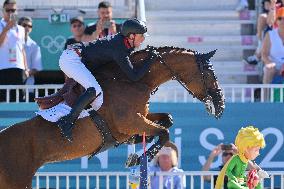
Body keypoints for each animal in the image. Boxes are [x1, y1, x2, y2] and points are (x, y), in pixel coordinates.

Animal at [0, 45, 224, 188]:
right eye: (208, 73)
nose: (220, 104)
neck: (134, 81)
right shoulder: (131, 121)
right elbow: (164, 132)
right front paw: (139, 158)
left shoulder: (140, 118)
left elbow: (167, 120)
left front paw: (138, 147)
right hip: (16, 181)